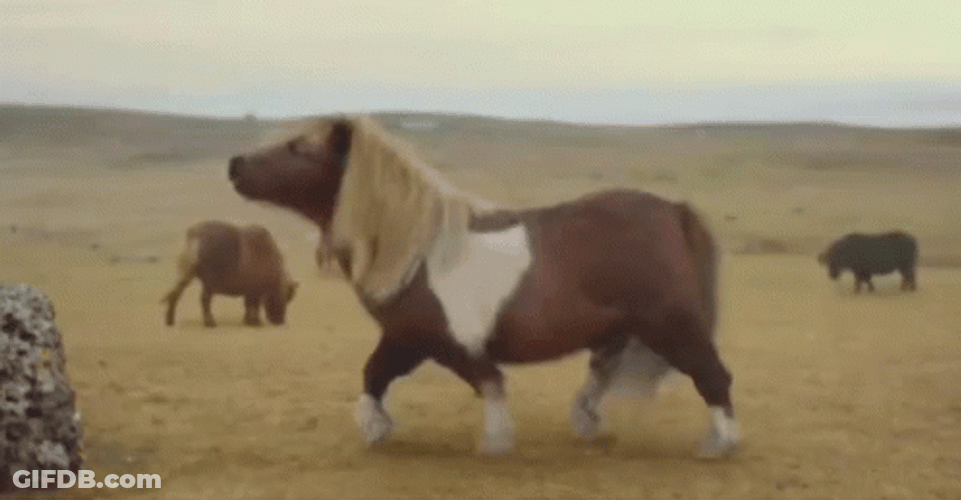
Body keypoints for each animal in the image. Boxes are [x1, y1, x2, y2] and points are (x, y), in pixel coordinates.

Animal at [162, 221, 299, 327]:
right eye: (285, 297)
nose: (280, 321)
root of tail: (196, 234)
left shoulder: (250, 291)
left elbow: (248, 305)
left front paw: (248, 320)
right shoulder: (256, 291)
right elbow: (254, 306)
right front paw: (255, 321)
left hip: (185, 275)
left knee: (175, 294)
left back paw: (170, 320)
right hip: (210, 282)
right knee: (205, 299)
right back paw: (210, 322)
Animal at [226, 115, 739, 459]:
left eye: (298, 148)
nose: (234, 164)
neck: (417, 249)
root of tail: (672, 210)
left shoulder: (448, 343)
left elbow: (488, 382)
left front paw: (494, 441)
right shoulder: (406, 339)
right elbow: (373, 376)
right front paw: (376, 430)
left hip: (671, 327)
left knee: (713, 377)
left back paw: (720, 444)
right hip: (622, 332)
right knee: (601, 377)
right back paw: (590, 425)